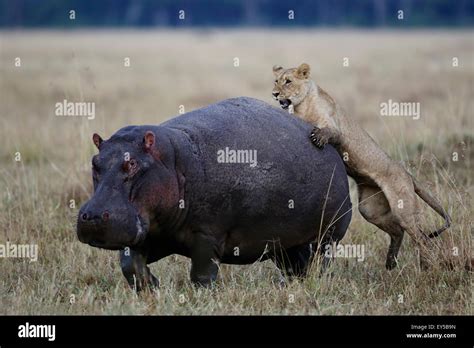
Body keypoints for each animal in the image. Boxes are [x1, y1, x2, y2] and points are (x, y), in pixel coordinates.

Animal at [77, 96, 352, 290]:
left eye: (132, 163)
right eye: (94, 162)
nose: (92, 216)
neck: (172, 160)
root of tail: (335, 153)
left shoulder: (207, 235)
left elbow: (201, 273)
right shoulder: (153, 234)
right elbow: (130, 264)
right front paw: (152, 287)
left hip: (328, 235)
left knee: (320, 262)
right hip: (284, 242)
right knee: (297, 264)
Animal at [272, 62, 450, 270]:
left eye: (288, 81)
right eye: (276, 81)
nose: (274, 94)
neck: (301, 106)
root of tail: (406, 173)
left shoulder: (336, 127)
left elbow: (330, 132)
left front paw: (319, 137)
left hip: (402, 208)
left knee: (422, 237)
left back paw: (426, 265)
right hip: (370, 208)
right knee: (398, 231)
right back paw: (390, 262)